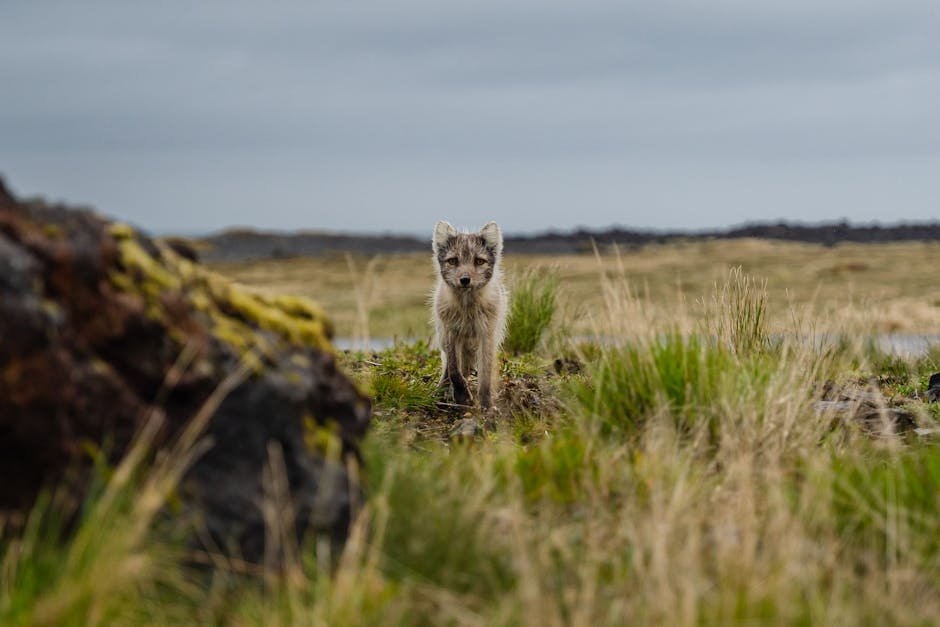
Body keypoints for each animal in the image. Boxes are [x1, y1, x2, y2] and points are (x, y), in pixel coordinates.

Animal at [431, 220, 508, 414]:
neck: (467, 312)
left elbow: (486, 376)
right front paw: (462, 396)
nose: (465, 279)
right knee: (450, 368)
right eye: (453, 261)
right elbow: (454, 369)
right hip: (443, 337)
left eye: (479, 261)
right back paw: (441, 389)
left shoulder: (486, 335)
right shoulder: (451, 332)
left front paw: (487, 405)